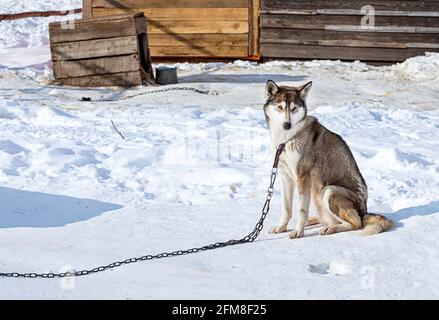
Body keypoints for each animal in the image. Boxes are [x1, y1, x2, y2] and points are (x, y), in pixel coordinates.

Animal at [262, 81, 394, 239]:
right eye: (280, 107)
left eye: (294, 109)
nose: (286, 125)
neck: (286, 139)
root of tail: (364, 211)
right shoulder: (285, 177)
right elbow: (286, 208)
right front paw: (281, 227)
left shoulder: (302, 177)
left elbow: (301, 210)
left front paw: (298, 232)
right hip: (316, 194)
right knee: (330, 219)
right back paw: (314, 221)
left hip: (328, 191)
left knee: (356, 223)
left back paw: (329, 229)